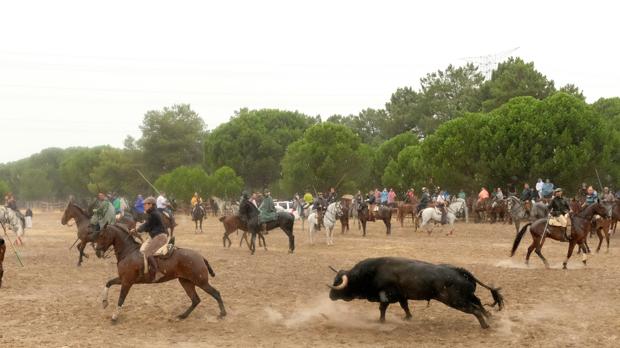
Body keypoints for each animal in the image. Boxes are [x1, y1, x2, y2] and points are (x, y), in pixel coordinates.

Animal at [93, 224, 226, 322]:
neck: (128, 252)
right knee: (195, 300)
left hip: (201, 282)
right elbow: (108, 283)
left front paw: (114, 316)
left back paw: (222, 313)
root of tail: (200, 257)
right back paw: (182, 316)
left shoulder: (127, 282)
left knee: (216, 293)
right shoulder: (122, 279)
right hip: (186, 282)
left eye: (102, 235)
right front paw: (104, 302)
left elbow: (121, 299)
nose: (97, 252)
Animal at [330, 256, 504, 328]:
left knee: (475, 309)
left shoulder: (386, 295)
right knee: (479, 304)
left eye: (338, 282)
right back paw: (490, 318)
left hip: (456, 301)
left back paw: (485, 325)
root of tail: (459, 270)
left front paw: (381, 321)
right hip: (467, 296)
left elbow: (382, 308)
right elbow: (405, 306)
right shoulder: (401, 296)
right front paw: (408, 318)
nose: (330, 295)